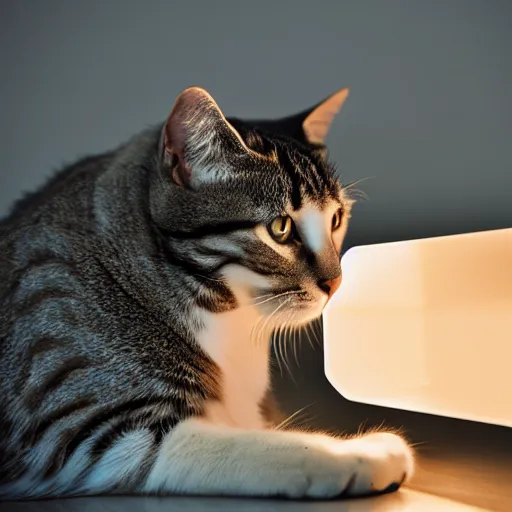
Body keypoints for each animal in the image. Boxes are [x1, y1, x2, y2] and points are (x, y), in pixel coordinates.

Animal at [0, 86, 414, 498]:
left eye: (336, 219)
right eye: (280, 228)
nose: (336, 282)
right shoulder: (91, 421)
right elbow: (253, 446)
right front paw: (363, 452)